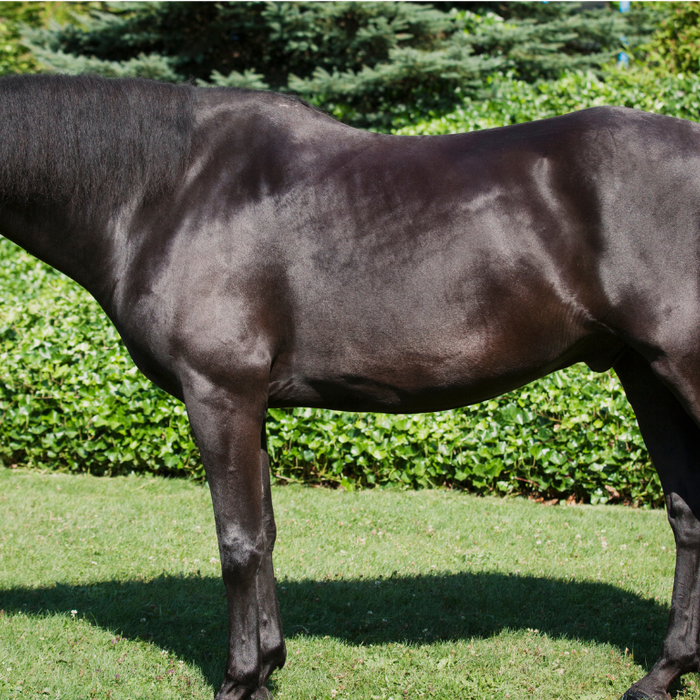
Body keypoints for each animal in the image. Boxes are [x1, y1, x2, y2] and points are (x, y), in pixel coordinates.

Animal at [1, 73, 699, 700]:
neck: (168, 191)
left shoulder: (219, 393)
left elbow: (238, 542)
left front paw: (239, 680)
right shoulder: (252, 403)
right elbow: (265, 531)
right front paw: (268, 669)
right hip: (647, 377)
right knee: (688, 515)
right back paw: (662, 674)